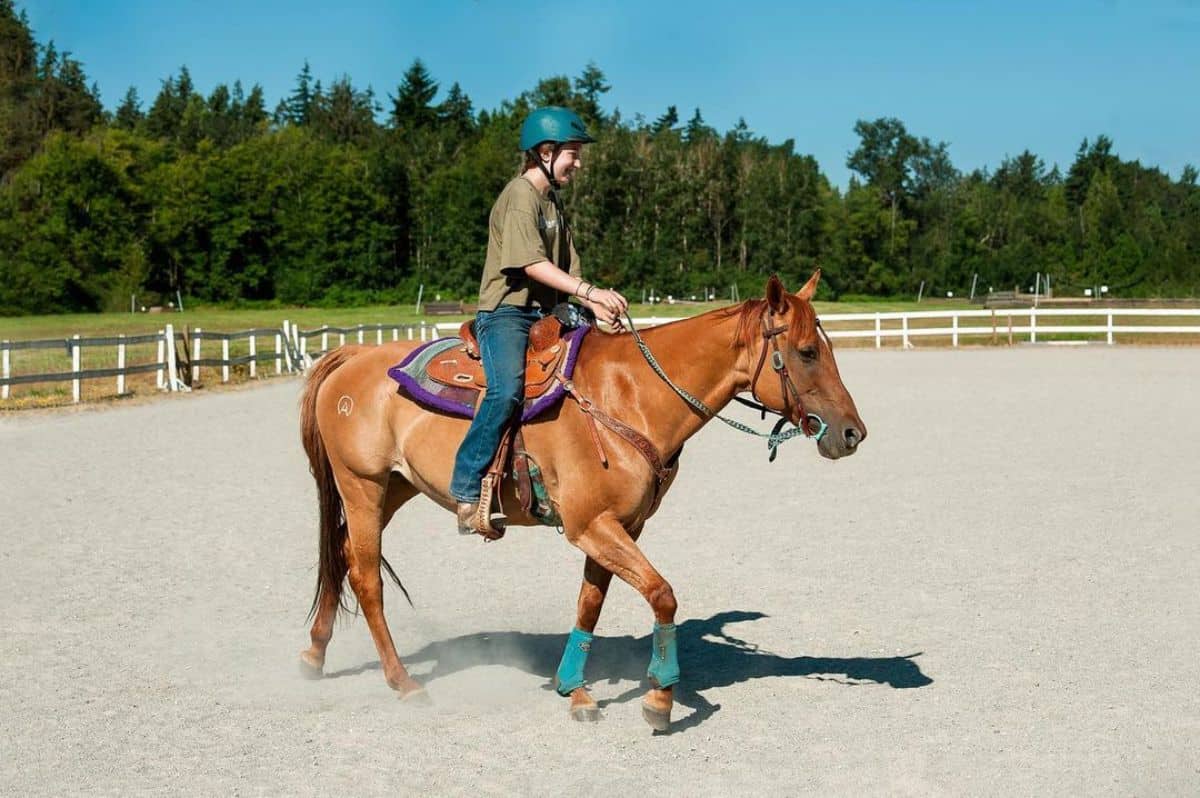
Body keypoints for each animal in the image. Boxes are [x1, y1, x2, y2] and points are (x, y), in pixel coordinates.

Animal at [296, 271, 868, 729]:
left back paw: (314, 656)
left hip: (395, 487)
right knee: (367, 577)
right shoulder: (591, 524)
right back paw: (403, 682)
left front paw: (575, 690)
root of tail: (352, 356)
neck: (630, 396)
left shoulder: (620, 526)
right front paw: (660, 697)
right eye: (807, 352)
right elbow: (662, 594)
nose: (852, 434)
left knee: (341, 557)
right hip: (362, 485)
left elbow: (590, 602)